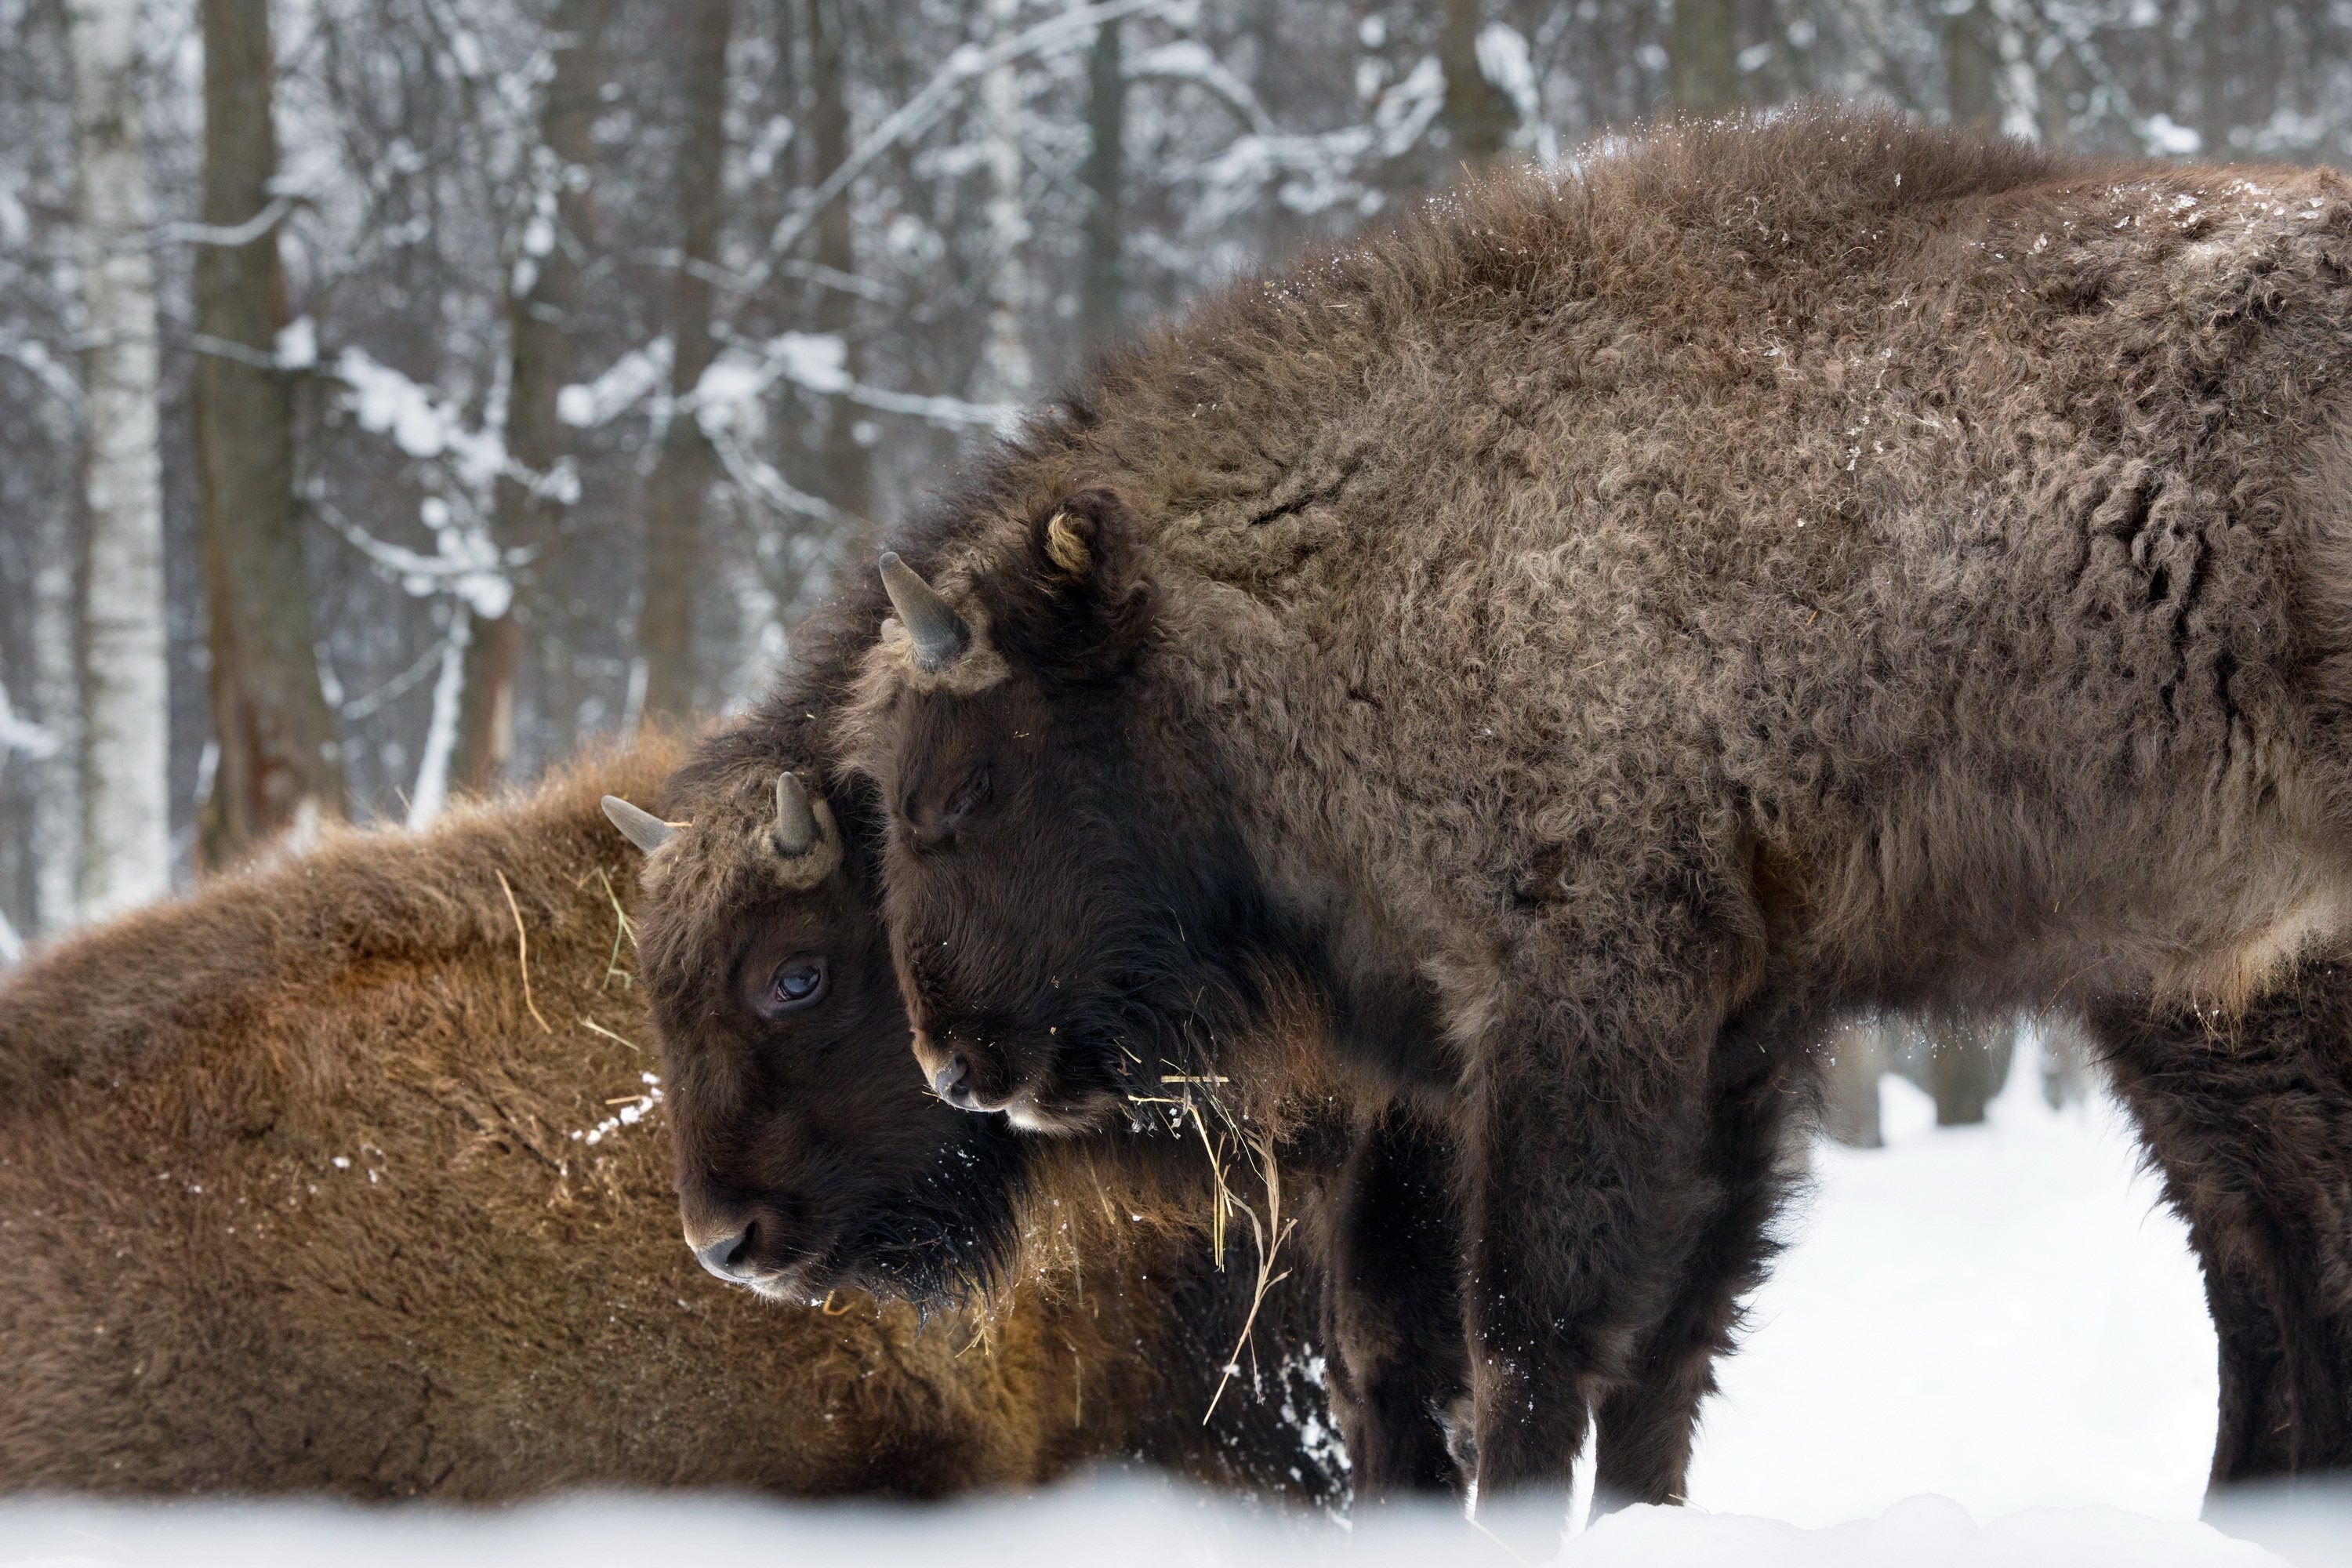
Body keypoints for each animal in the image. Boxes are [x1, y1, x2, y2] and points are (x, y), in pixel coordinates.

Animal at [837, 110, 2352, 1523]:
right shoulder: (1736, 1034)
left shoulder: (1578, 1000)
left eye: (960, 790)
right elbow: (1670, 1339)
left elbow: (1532, 1327)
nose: (955, 1062)